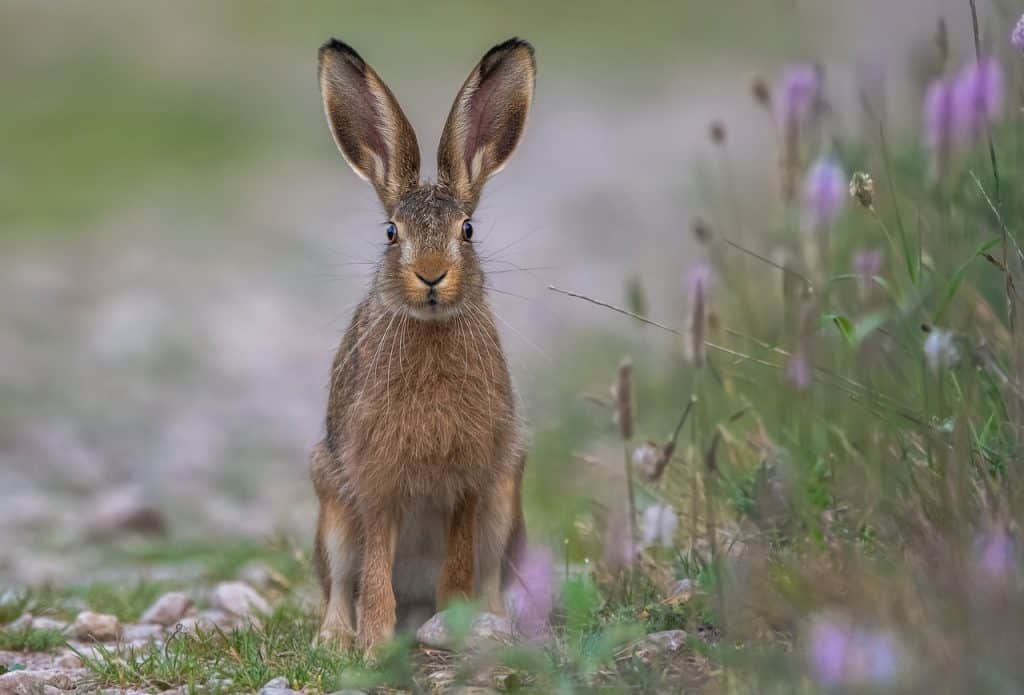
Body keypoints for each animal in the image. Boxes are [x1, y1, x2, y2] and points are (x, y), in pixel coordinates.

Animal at [309, 37, 535, 652]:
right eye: (392, 233)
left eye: (468, 231)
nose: (431, 275)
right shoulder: (375, 484)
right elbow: (373, 571)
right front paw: (373, 644)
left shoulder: (471, 483)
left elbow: (457, 567)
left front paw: (453, 624)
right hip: (330, 505)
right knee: (338, 580)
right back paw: (336, 637)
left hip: (505, 502)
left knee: (490, 575)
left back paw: (493, 624)